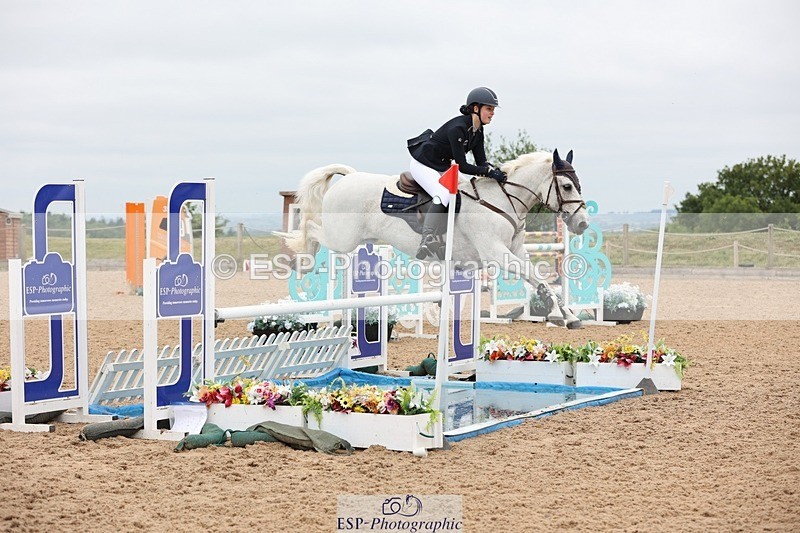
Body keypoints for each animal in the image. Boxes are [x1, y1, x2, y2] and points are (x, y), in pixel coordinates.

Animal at [279, 149, 590, 328]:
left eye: (578, 183)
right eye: (566, 186)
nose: (582, 223)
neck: (502, 199)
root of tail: (350, 177)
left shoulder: (516, 251)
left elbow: (537, 276)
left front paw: (568, 315)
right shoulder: (495, 254)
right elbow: (536, 277)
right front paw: (560, 315)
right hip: (341, 237)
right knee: (311, 228)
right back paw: (302, 260)